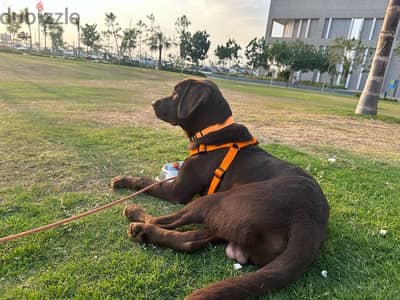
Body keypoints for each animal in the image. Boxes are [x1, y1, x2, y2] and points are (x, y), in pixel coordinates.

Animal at [111, 78, 328, 298]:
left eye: (176, 93)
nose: (153, 103)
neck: (213, 129)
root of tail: (307, 222)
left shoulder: (177, 192)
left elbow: (145, 181)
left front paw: (123, 179)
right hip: (230, 220)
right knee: (189, 241)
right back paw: (146, 233)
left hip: (217, 200)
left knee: (162, 221)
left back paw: (136, 217)